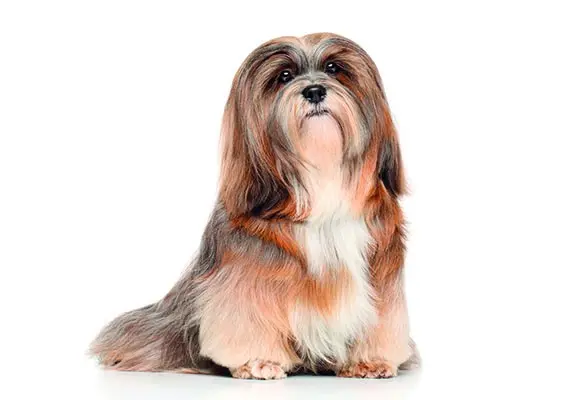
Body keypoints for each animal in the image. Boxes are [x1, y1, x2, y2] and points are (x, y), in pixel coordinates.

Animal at [91, 32, 419, 380]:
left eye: (334, 68)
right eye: (284, 76)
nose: (315, 91)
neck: (320, 178)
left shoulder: (382, 269)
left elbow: (382, 318)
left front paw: (370, 360)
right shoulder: (245, 274)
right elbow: (246, 316)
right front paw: (258, 361)